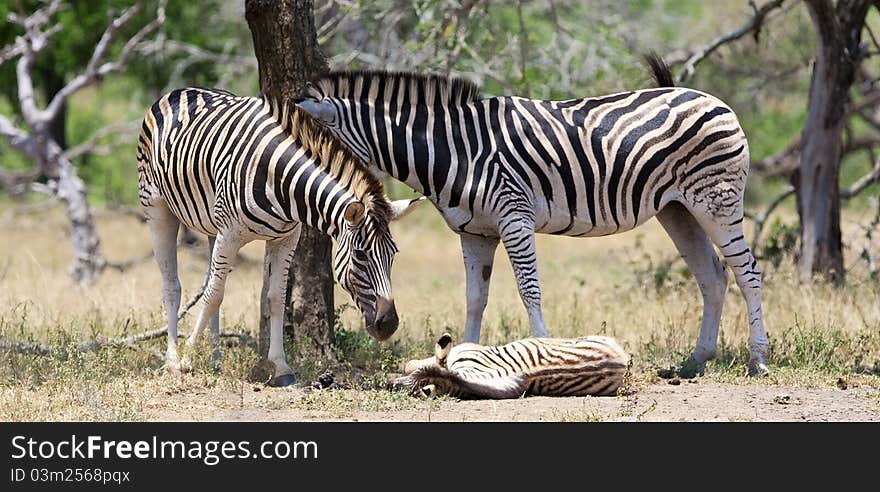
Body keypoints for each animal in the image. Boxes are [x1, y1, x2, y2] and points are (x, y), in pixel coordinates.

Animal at [138, 86, 422, 384]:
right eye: (360, 256)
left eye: (393, 255)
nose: (389, 325)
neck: (280, 180)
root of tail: (179, 91)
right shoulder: (230, 234)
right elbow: (213, 296)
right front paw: (188, 358)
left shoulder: (286, 237)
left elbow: (275, 298)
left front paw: (280, 366)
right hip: (158, 209)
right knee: (173, 286)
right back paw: (172, 360)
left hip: (212, 226)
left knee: (210, 284)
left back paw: (215, 360)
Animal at [296, 55, 768, 374]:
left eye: (319, 147)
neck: (453, 150)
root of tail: (714, 101)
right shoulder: (474, 232)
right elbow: (475, 299)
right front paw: (462, 360)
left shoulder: (514, 216)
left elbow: (529, 291)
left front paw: (546, 354)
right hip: (677, 209)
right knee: (713, 275)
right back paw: (695, 361)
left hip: (716, 198)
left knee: (747, 272)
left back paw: (757, 360)